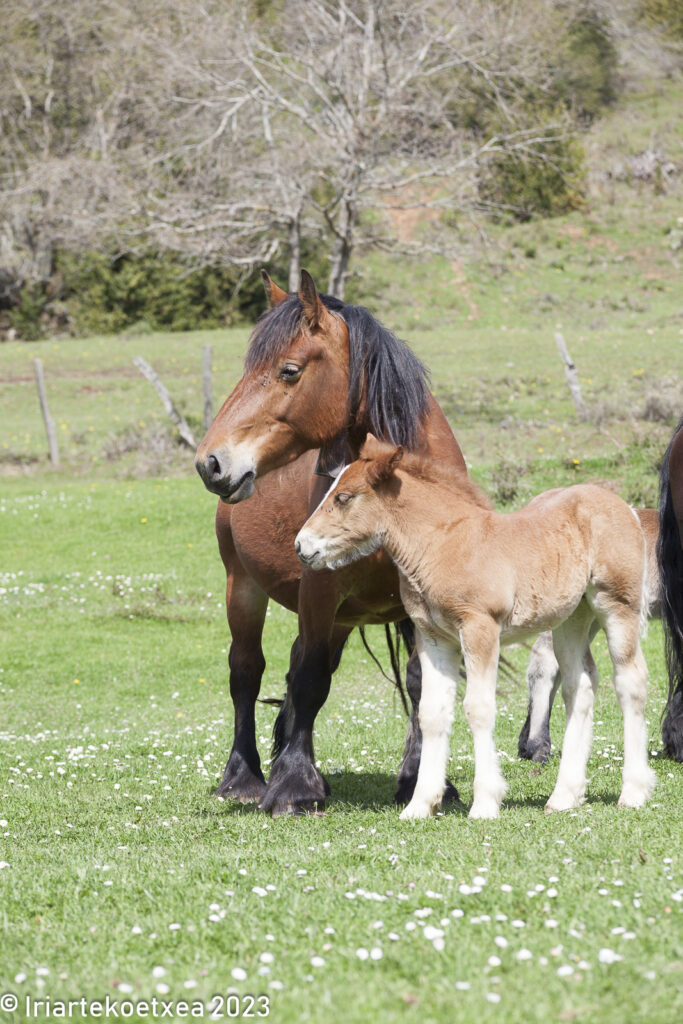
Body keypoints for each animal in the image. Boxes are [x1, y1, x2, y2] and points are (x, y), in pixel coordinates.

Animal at [296, 436, 655, 819]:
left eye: (343, 497)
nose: (301, 545)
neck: (442, 545)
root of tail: (626, 507)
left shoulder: (479, 627)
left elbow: (478, 708)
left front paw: (485, 802)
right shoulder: (433, 638)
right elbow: (431, 713)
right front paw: (420, 804)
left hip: (617, 605)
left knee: (630, 680)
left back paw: (634, 791)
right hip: (572, 618)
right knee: (580, 685)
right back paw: (564, 796)